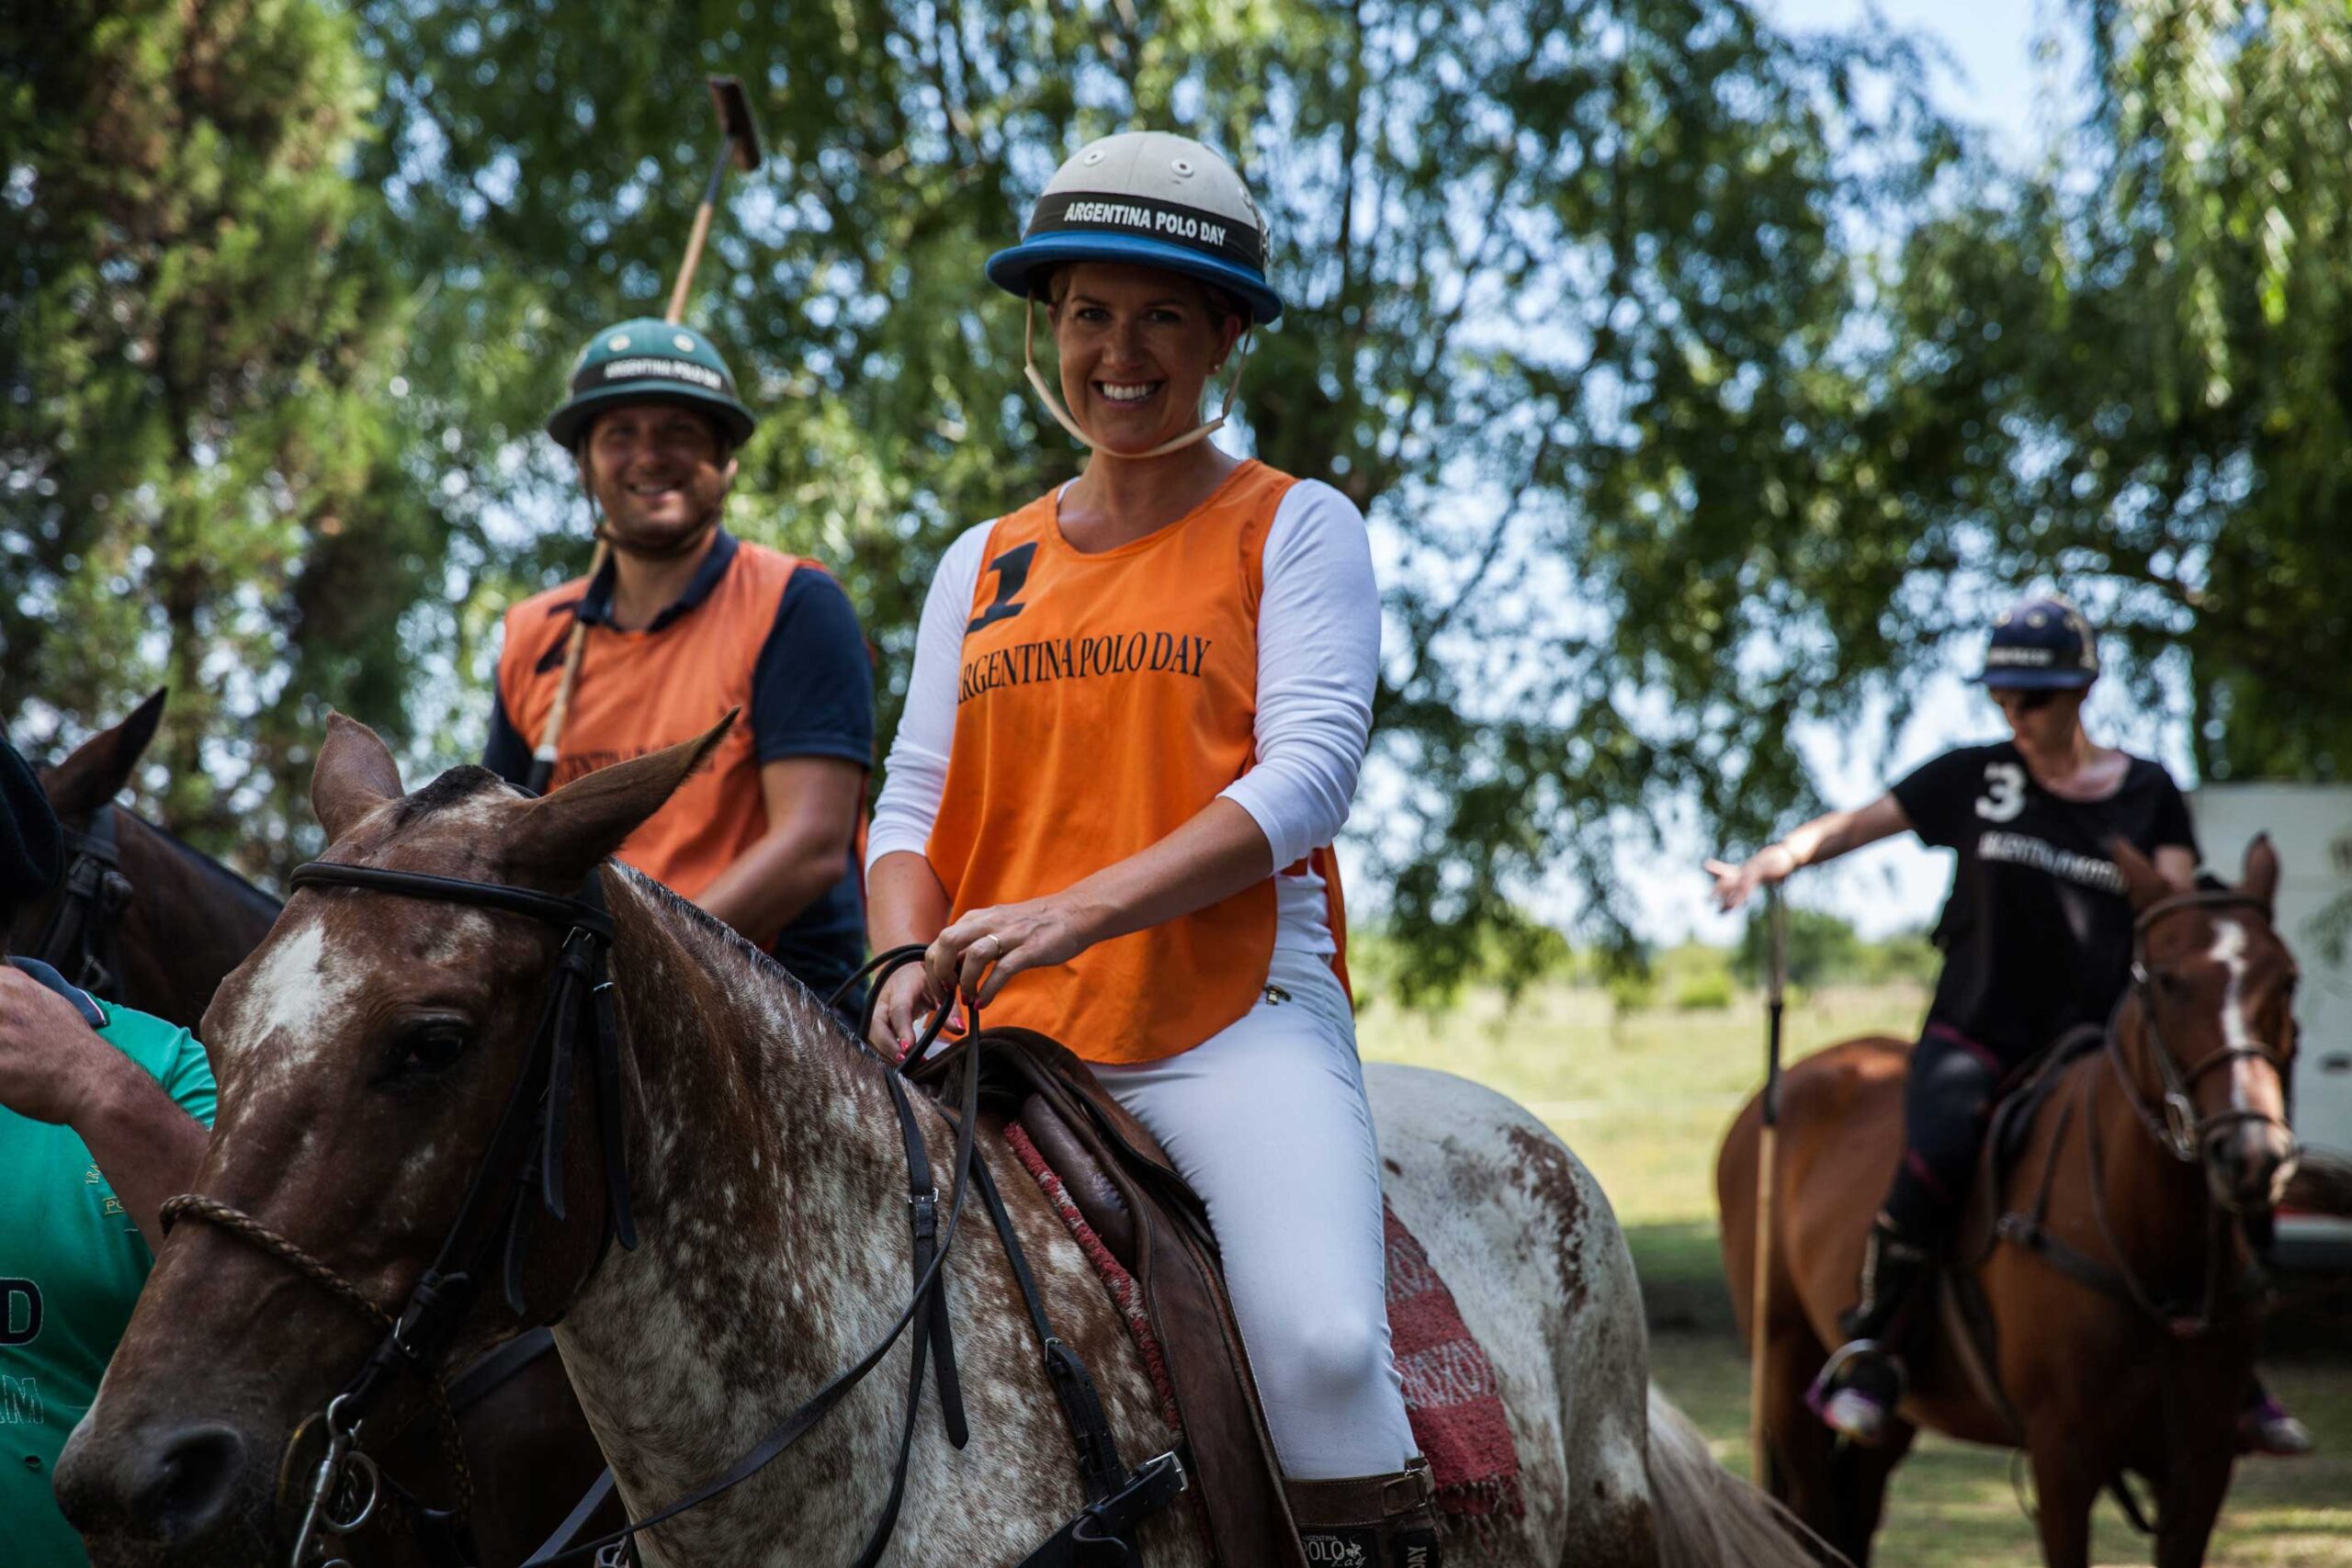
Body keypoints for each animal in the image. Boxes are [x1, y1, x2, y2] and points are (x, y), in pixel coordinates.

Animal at [1712, 841, 2295, 1561]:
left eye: (2287, 978)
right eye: (2165, 980)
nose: (2251, 1152)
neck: (2156, 1251)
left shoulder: (2201, 1468)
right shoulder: (2063, 1454)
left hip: (1895, 1415)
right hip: (1784, 1361)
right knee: (1810, 1511)